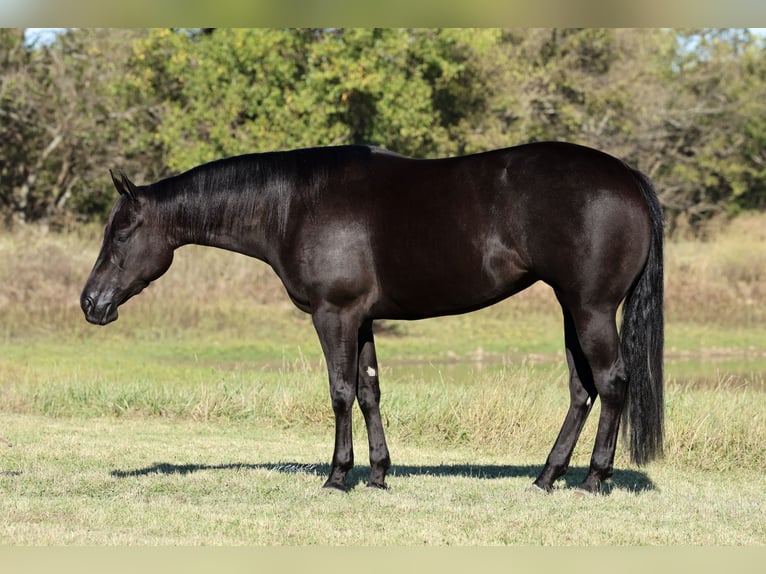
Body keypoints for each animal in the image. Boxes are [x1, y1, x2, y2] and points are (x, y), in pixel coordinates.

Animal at [81, 141, 664, 494]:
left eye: (122, 233)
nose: (90, 303)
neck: (294, 204)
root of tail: (626, 176)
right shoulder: (360, 320)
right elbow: (369, 390)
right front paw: (380, 474)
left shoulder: (332, 315)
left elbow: (340, 392)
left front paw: (338, 476)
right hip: (571, 308)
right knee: (582, 389)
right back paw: (546, 477)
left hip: (590, 308)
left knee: (611, 382)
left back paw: (593, 479)